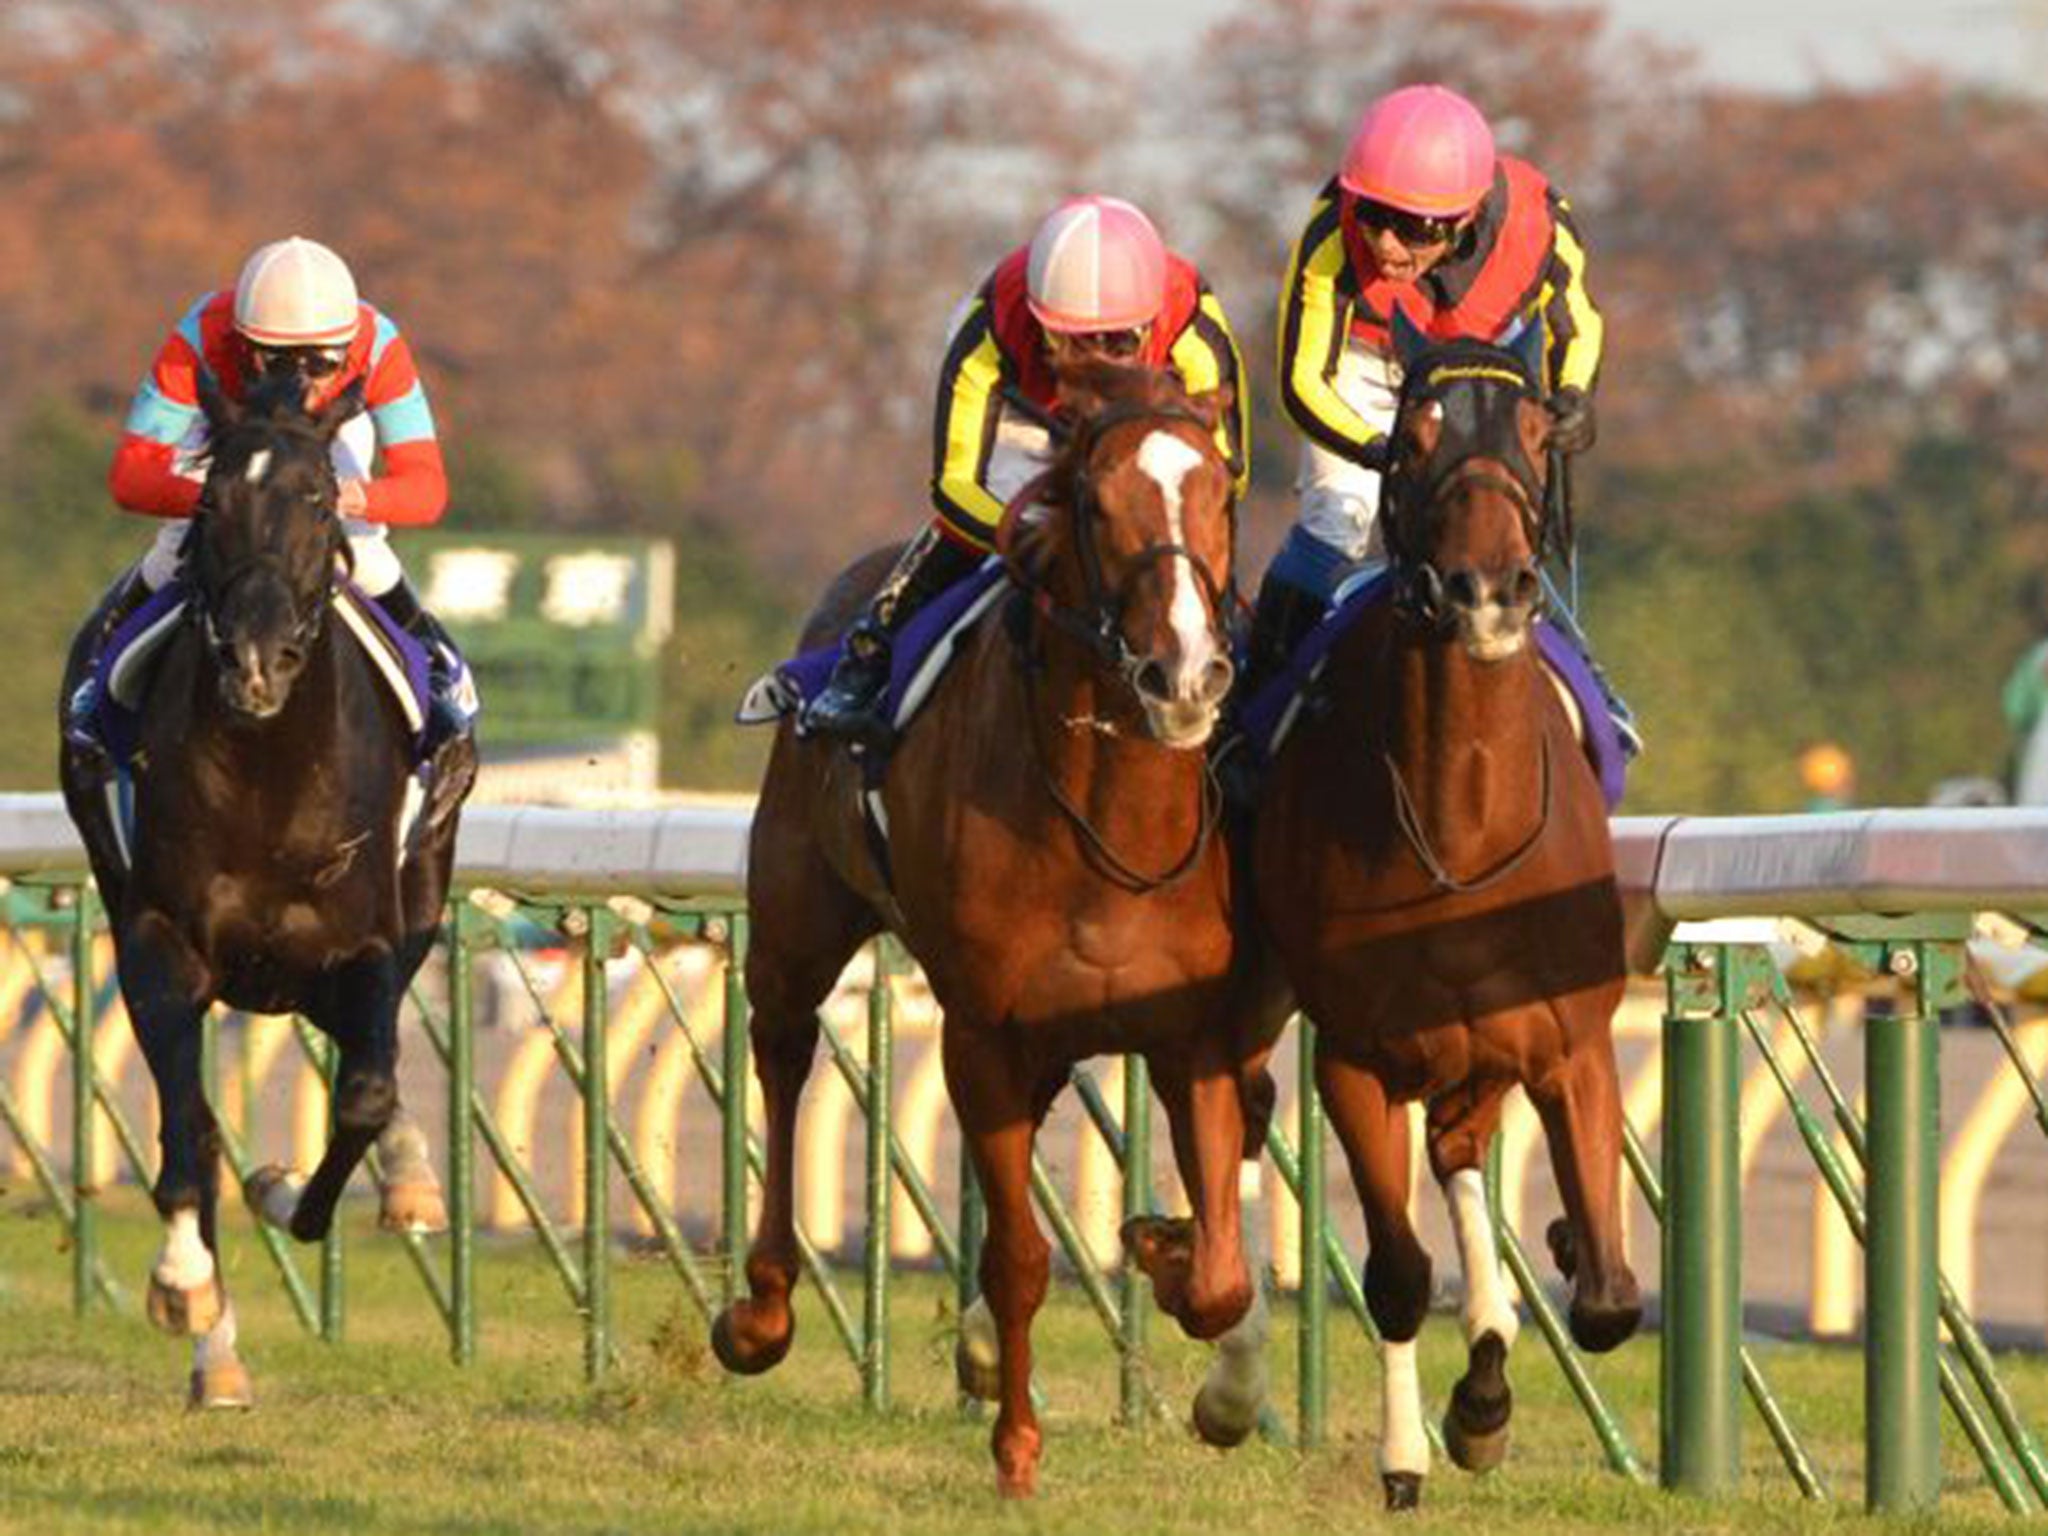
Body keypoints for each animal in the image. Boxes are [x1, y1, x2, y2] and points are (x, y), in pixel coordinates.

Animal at [54, 372, 468, 1409]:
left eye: (320, 500)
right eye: (208, 505)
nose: (256, 659)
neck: (269, 772)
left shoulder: (362, 945)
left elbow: (364, 1095)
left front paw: (291, 1191)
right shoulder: (161, 944)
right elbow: (189, 1138)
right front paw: (187, 1290)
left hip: (413, 899)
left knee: (374, 1059)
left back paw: (408, 1181)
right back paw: (218, 1352)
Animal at [720, 364, 1261, 1507]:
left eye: (1220, 495)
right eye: (1095, 503)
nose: (1185, 675)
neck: (1110, 824)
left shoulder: (1192, 1034)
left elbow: (1222, 1279)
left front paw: (1164, 1251)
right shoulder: (982, 1034)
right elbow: (1019, 1260)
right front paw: (1015, 1451)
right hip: (797, 917)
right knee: (782, 1051)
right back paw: (758, 1312)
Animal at [1253, 327, 1638, 1515]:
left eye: (1537, 431)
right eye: (1415, 438)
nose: (1486, 593)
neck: (1464, 825)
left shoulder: (1569, 1045)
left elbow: (1608, 1301)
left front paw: (1561, 1251)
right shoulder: (1358, 1059)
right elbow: (1393, 1276)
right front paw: (1422, 1446)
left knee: (1464, 1151)